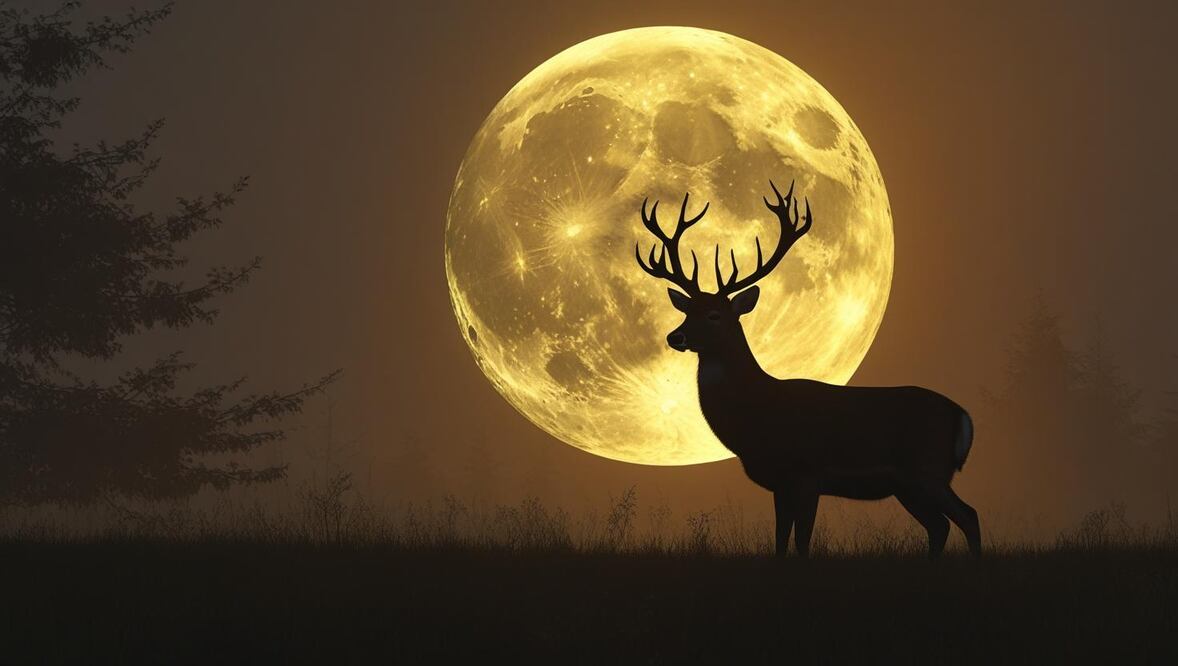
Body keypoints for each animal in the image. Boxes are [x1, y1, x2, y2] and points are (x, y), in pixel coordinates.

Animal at [635, 180, 981, 559]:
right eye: (686, 311)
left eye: (714, 315)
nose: (675, 336)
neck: (758, 412)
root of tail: (962, 416)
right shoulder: (780, 483)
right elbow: (780, 540)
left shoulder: (807, 472)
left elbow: (802, 542)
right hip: (910, 485)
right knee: (940, 525)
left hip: (926, 469)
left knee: (968, 515)